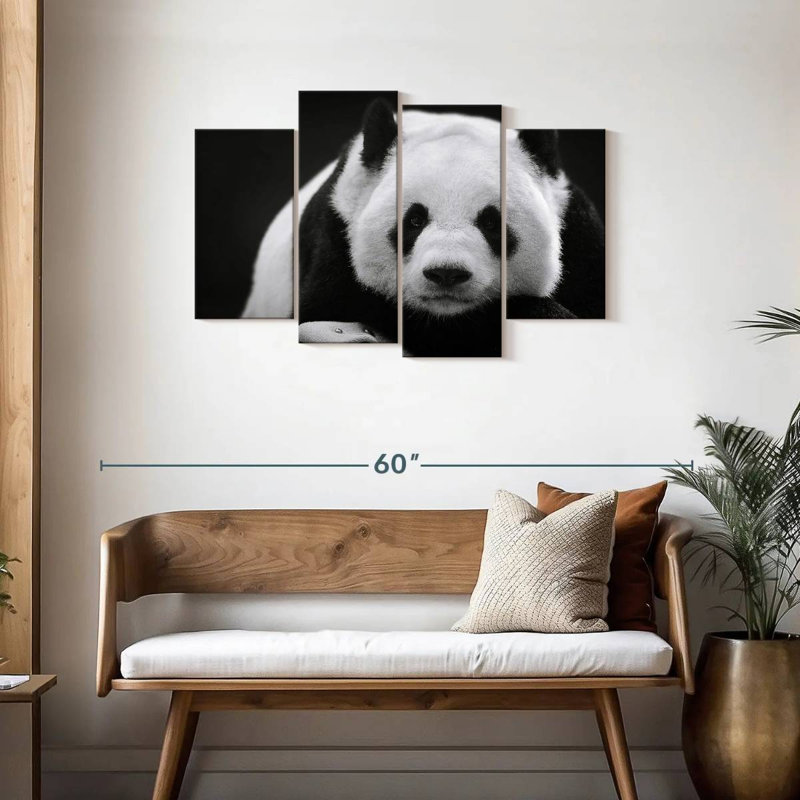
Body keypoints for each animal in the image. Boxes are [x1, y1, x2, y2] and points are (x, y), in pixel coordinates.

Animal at [242, 100, 604, 352]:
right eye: (414, 220)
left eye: (491, 222)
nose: (446, 273)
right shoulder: (335, 237)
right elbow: (328, 310)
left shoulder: (579, 241)